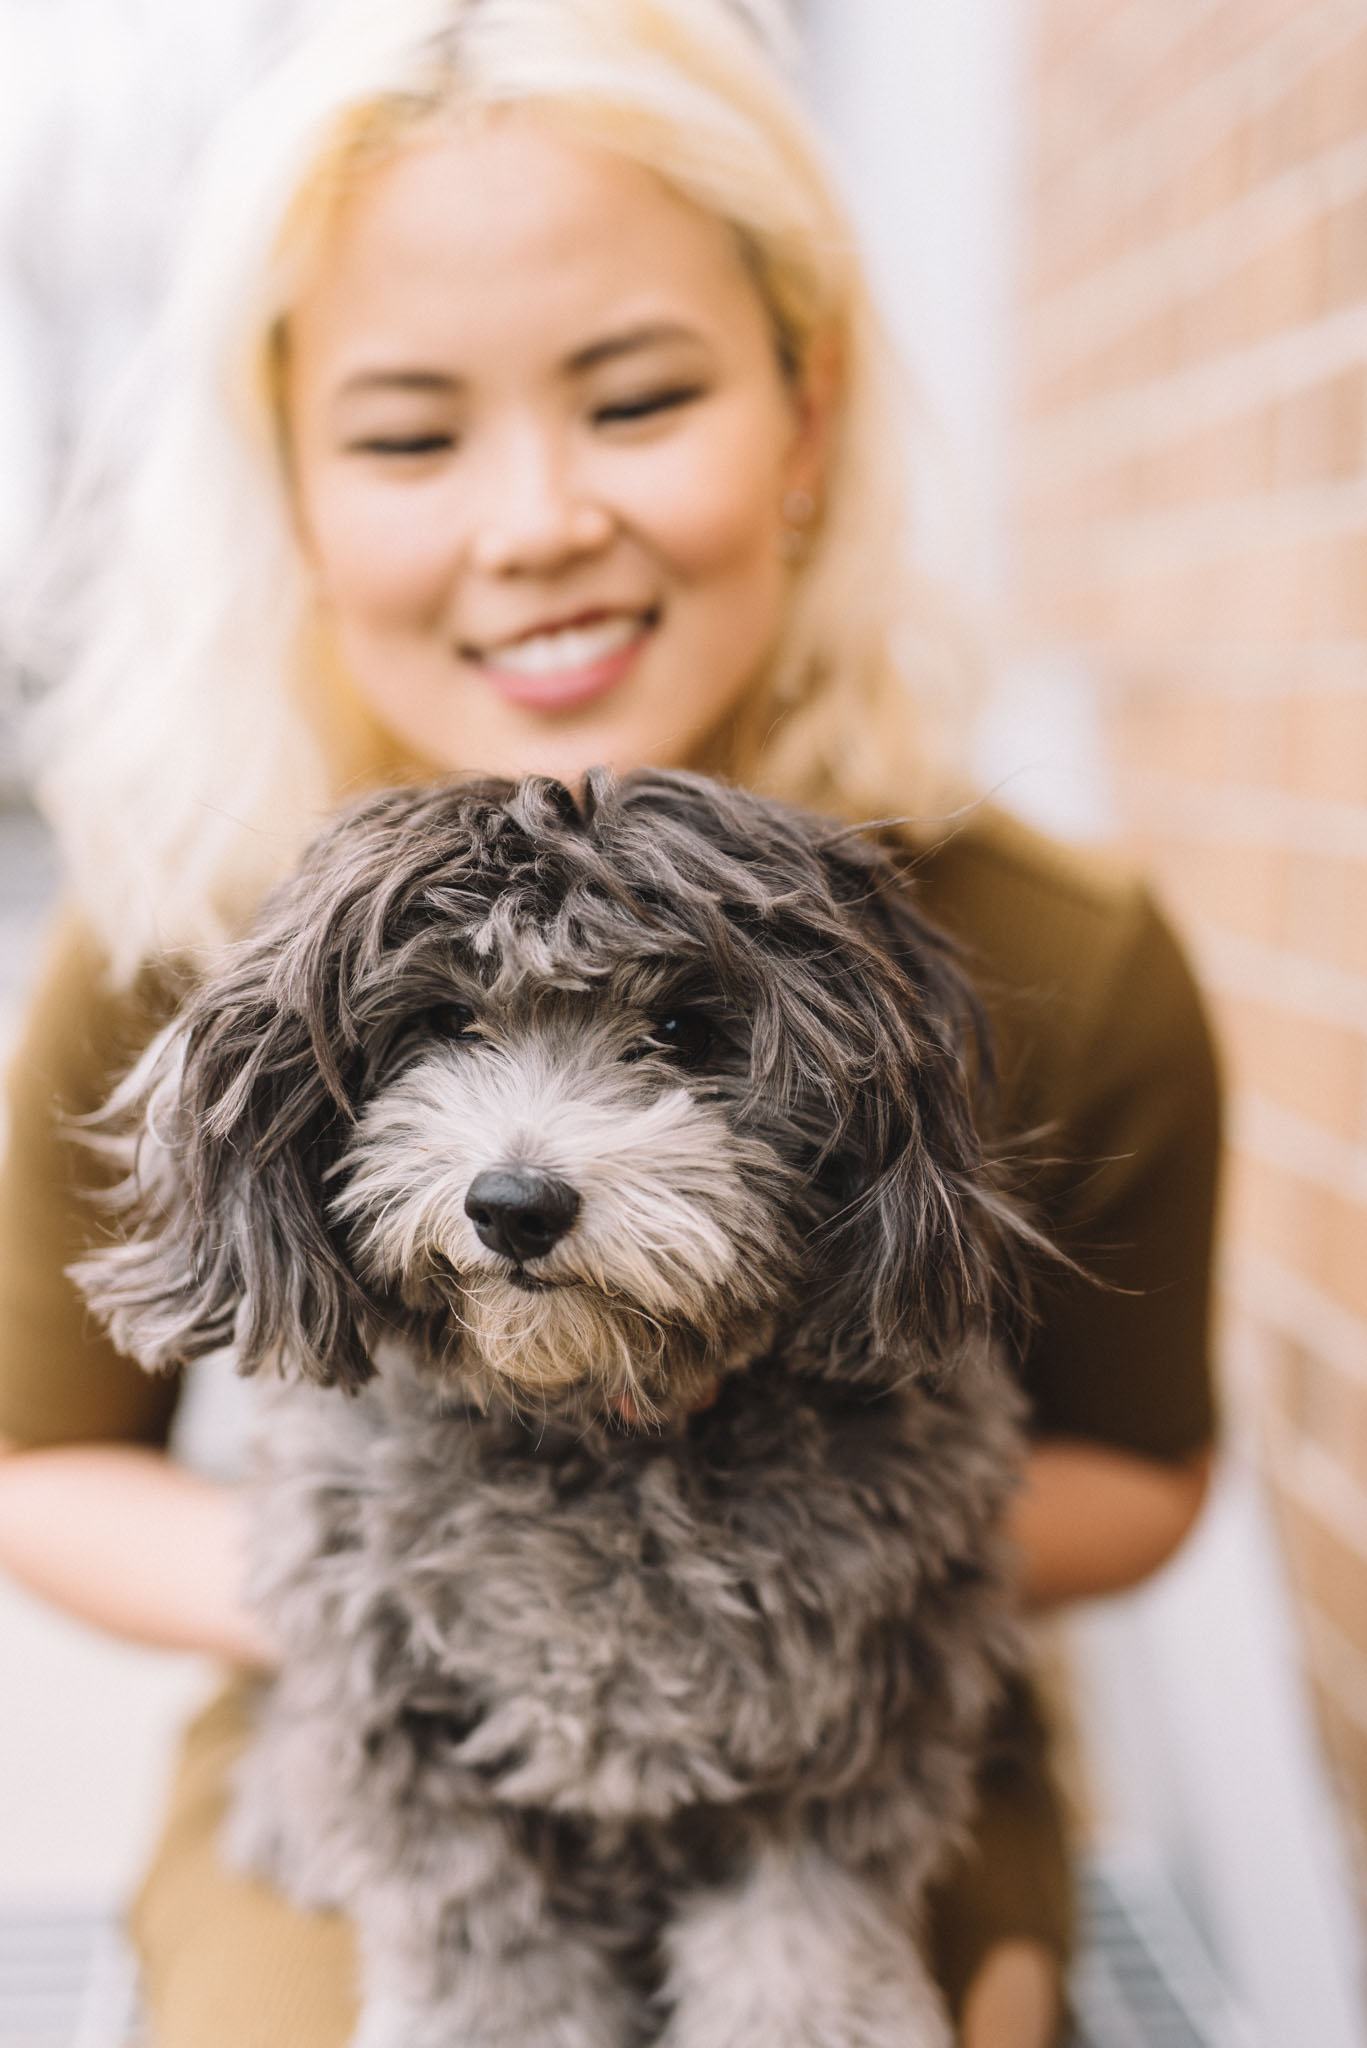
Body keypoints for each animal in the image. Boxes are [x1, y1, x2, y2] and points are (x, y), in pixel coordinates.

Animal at [74, 770, 1032, 2048]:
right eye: (441, 1023)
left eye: (681, 1032)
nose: (515, 1204)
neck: (593, 1426)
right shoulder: (408, 1729)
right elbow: (486, 1949)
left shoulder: (852, 1716)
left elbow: (802, 1931)